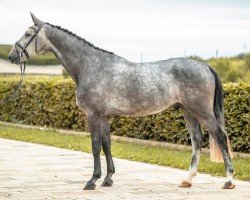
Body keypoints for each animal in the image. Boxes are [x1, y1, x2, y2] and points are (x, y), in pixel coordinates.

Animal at [7, 13, 234, 190]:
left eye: (27, 34)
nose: (11, 56)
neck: (91, 66)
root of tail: (205, 66)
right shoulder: (104, 116)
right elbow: (107, 144)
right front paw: (108, 179)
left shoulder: (94, 115)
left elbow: (95, 146)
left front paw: (92, 181)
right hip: (188, 111)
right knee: (197, 140)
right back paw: (187, 180)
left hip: (202, 111)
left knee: (220, 137)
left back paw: (229, 180)